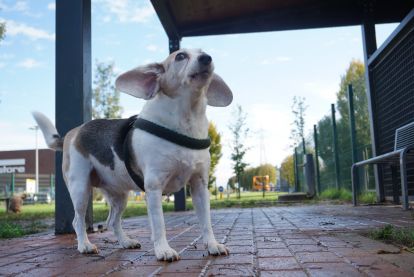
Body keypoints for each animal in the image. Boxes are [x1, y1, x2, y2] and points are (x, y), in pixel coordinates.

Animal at [31, 49, 233, 260]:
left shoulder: (199, 186)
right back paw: (85, 245)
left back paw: (125, 242)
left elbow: (206, 223)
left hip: (119, 196)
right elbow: (159, 224)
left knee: (113, 221)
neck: (186, 119)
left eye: (203, 52)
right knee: (77, 221)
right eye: (180, 56)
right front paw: (163, 250)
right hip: (80, 190)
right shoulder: (154, 187)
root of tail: (74, 132)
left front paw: (212, 245)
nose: (207, 58)